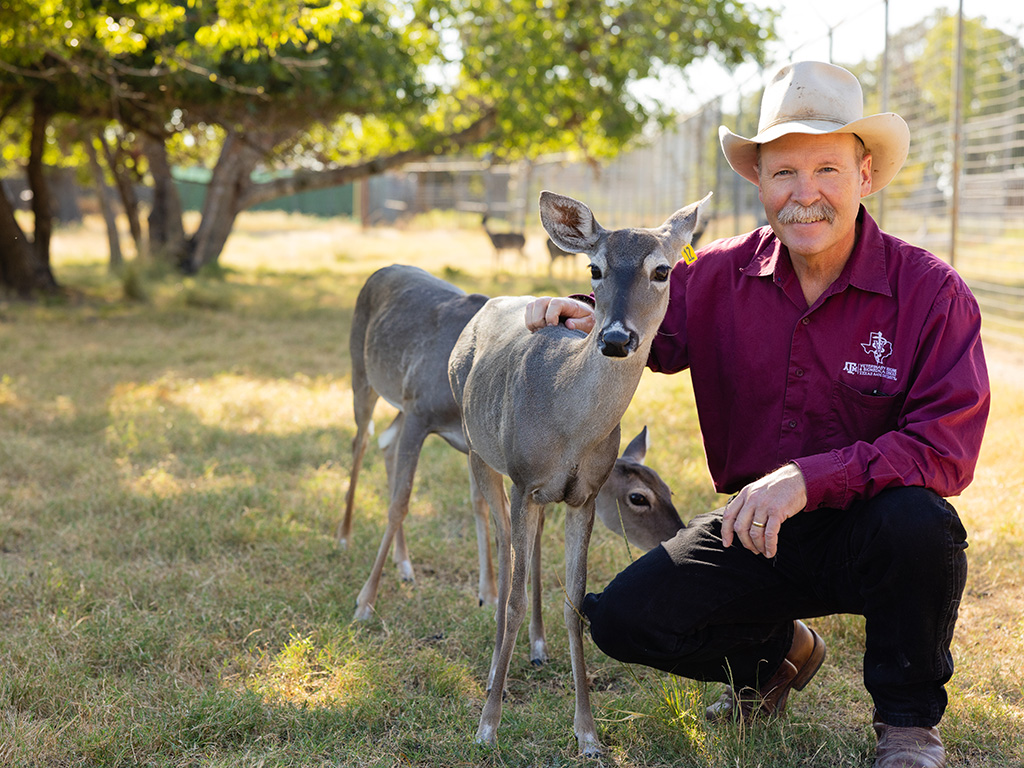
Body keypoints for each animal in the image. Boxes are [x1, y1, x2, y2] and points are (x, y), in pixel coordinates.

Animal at [346, 264, 688, 626]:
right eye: (638, 498)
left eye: (667, 489)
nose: (674, 535)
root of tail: (384, 269)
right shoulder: (418, 409)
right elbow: (401, 502)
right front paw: (365, 601)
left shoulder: (483, 447)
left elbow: (486, 509)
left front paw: (490, 595)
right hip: (362, 371)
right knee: (361, 440)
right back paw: (345, 537)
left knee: (386, 440)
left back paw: (403, 564)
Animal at [448, 189, 712, 753]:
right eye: (594, 268)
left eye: (663, 270)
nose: (614, 338)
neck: (567, 425)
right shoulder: (524, 480)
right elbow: (514, 593)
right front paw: (487, 726)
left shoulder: (583, 496)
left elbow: (575, 603)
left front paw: (588, 733)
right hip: (480, 449)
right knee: (503, 552)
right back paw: (495, 670)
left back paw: (537, 647)